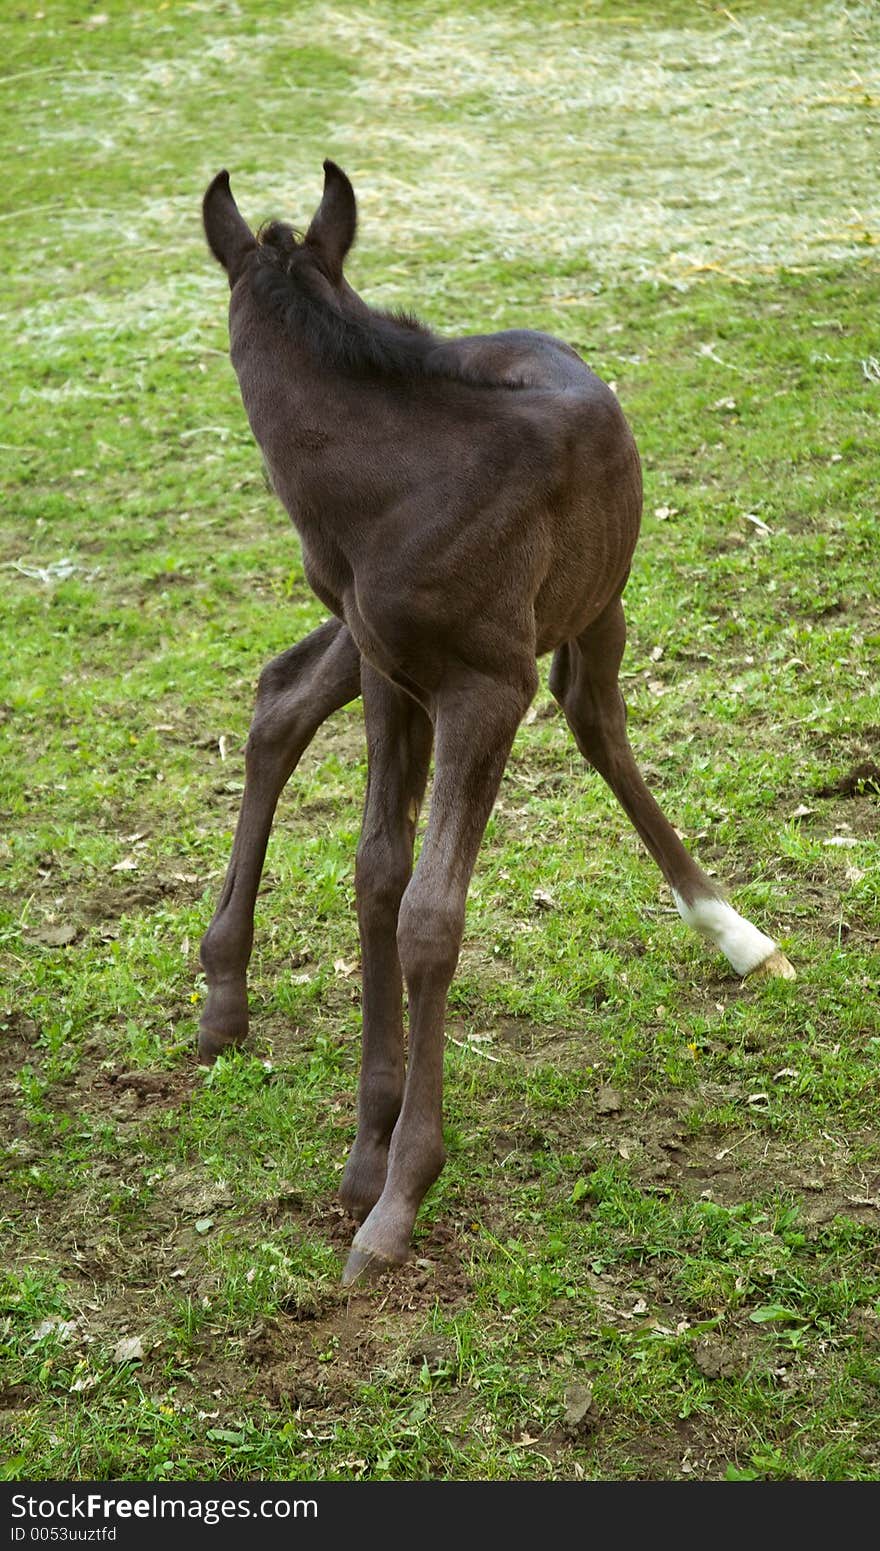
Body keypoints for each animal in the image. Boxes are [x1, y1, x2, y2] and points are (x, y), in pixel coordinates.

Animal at [201, 160, 800, 1284]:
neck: (391, 481)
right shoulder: (394, 675)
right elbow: (377, 876)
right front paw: (370, 1148)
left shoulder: (483, 686)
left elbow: (428, 914)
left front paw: (397, 1196)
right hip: (387, 644)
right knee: (284, 698)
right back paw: (222, 996)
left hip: (586, 609)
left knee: (594, 723)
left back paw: (736, 934)